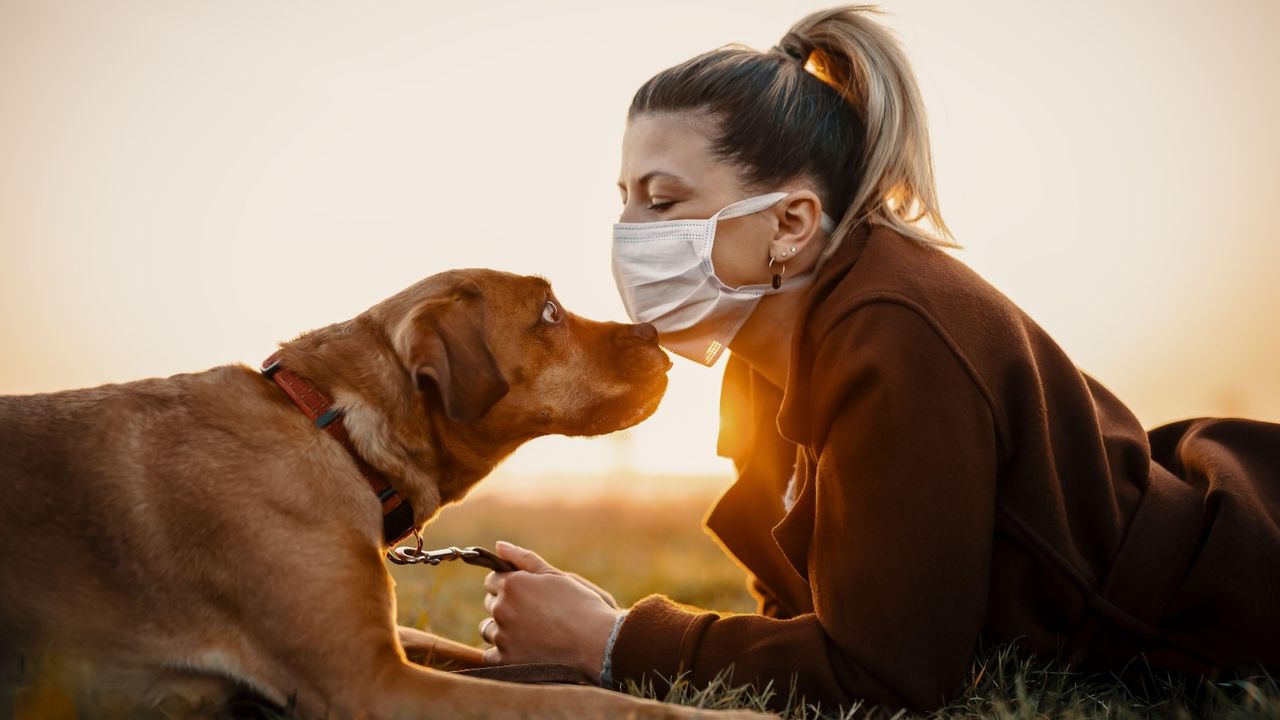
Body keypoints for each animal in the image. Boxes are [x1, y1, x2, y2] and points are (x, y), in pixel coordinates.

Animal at [0, 270, 762, 717]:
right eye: (548, 312)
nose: (655, 331)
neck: (337, 433)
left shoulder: (391, 648)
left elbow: (505, 663)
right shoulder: (372, 685)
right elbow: (591, 706)